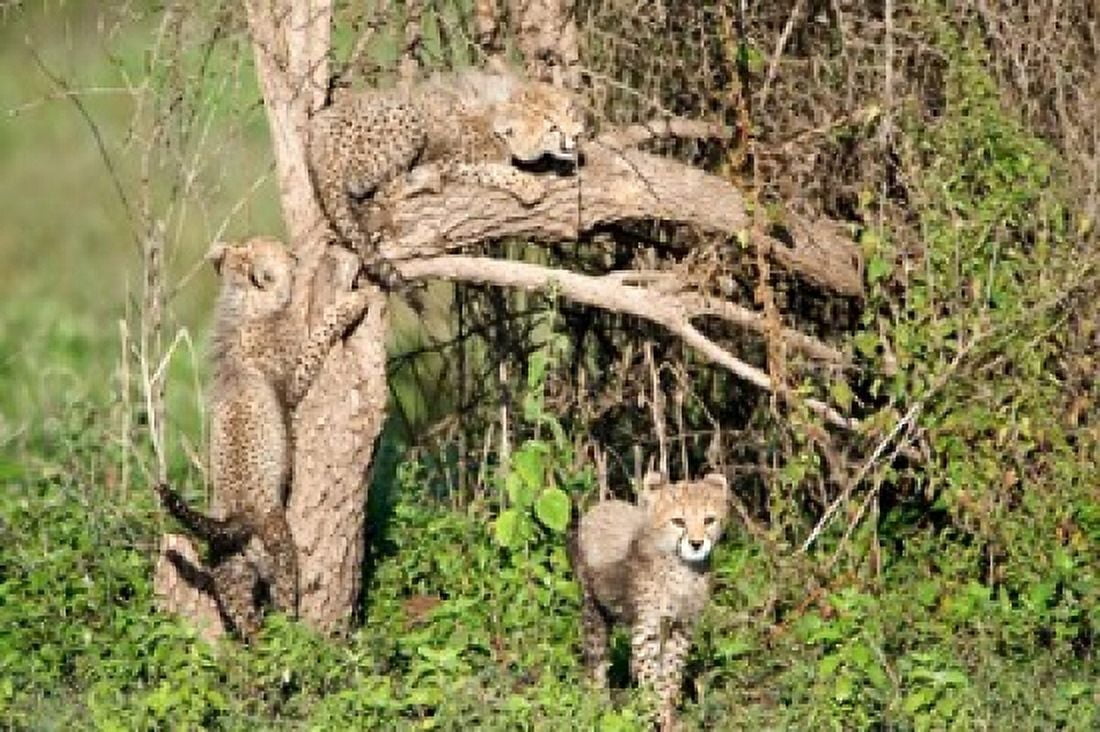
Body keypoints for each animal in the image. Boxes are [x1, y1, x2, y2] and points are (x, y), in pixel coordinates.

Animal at [158, 236, 371, 640]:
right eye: (282, 253)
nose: (295, 254)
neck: (244, 301)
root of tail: (233, 521)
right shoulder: (295, 379)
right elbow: (319, 334)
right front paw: (353, 303)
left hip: (231, 579)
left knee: (249, 626)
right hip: (280, 553)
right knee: (284, 603)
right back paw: (295, 640)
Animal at [307, 67, 583, 303]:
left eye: (570, 111)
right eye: (552, 128)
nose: (577, 134)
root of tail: (318, 140)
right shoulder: (450, 163)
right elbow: (491, 170)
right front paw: (528, 185)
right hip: (408, 118)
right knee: (384, 191)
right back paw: (424, 180)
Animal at [567, 471, 731, 730]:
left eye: (709, 520)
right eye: (678, 521)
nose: (696, 544)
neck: (682, 567)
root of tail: (602, 505)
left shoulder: (681, 627)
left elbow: (670, 673)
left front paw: (669, 714)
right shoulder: (647, 630)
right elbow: (652, 677)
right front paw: (658, 715)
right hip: (593, 610)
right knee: (598, 661)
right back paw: (598, 708)